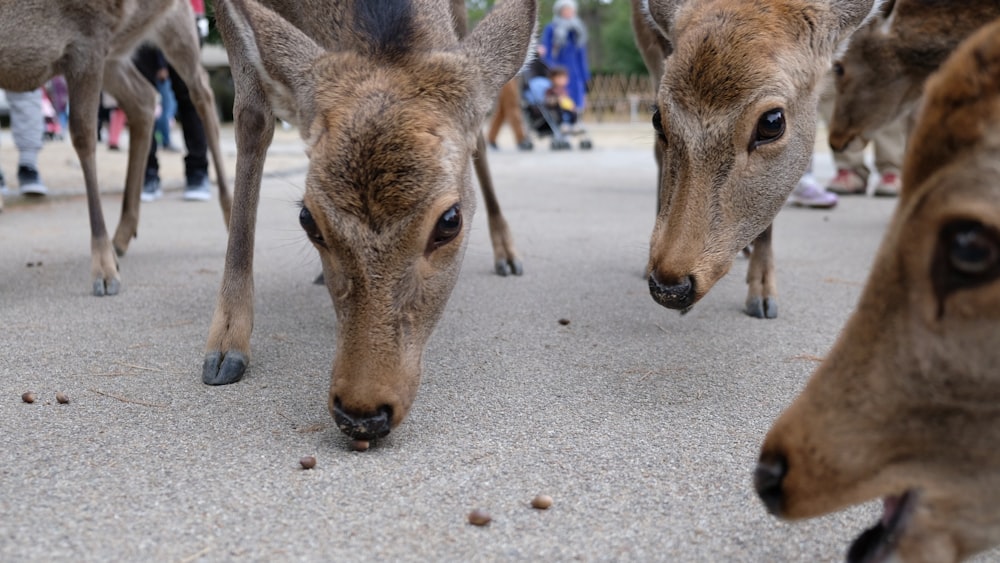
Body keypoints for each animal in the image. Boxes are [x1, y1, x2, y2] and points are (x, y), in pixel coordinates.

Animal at [0, 0, 229, 298]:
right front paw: (108, 257)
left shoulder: (89, 38)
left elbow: (83, 136)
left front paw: (104, 270)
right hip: (118, 52)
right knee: (144, 99)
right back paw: (121, 236)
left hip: (176, 21)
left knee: (201, 91)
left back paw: (231, 214)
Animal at [203, 0, 540, 440]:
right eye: (307, 219)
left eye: (450, 220)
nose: (361, 414)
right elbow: (253, 116)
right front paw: (225, 346)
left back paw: (508, 255)